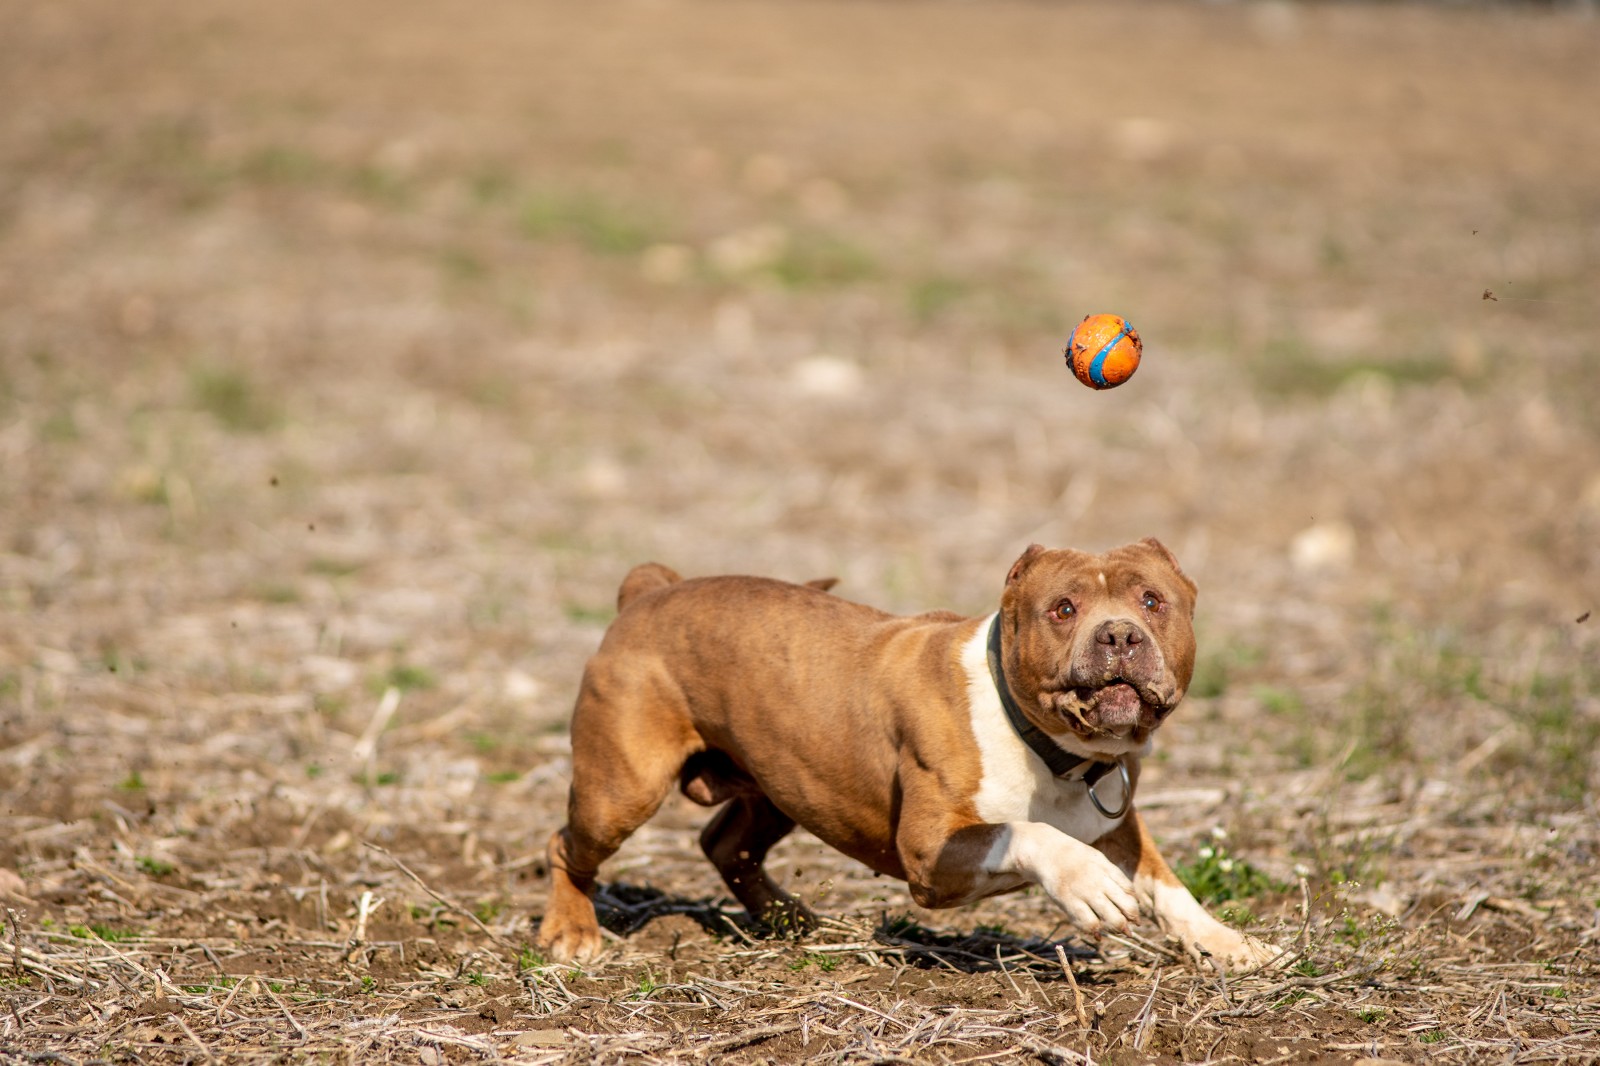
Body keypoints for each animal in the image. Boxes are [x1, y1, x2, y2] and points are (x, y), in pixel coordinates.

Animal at [534, 534, 1273, 966]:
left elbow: (1169, 886)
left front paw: (1231, 945)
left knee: (725, 842)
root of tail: (650, 591)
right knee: (568, 845)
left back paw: (789, 919)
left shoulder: (1119, 823)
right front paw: (1086, 884)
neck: (1050, 748)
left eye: (1153, 601)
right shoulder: (931, 849)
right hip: (622, 789)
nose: (1118, 634)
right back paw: (571, 932)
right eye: (1063, 609)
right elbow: (1027, 832)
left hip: (784, 781)